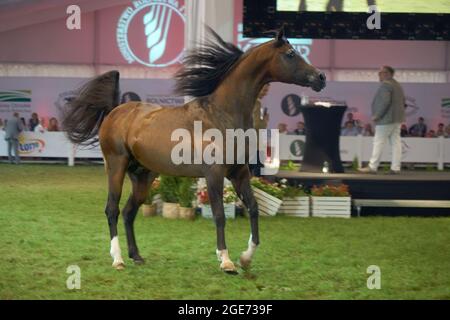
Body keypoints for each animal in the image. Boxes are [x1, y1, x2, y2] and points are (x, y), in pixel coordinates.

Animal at [61, 26, 326, 274]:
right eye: (290, 54)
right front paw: (226, 261)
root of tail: (115, 111)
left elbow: (253, 208)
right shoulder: (214, 174)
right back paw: (118, 260)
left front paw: (246, 258)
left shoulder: (239, 173)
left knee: (128, 212)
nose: (321, 77)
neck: (222, 114)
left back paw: (136, 256)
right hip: (116, 167)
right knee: (112, 210)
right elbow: (219, 214)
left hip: (143, 176)